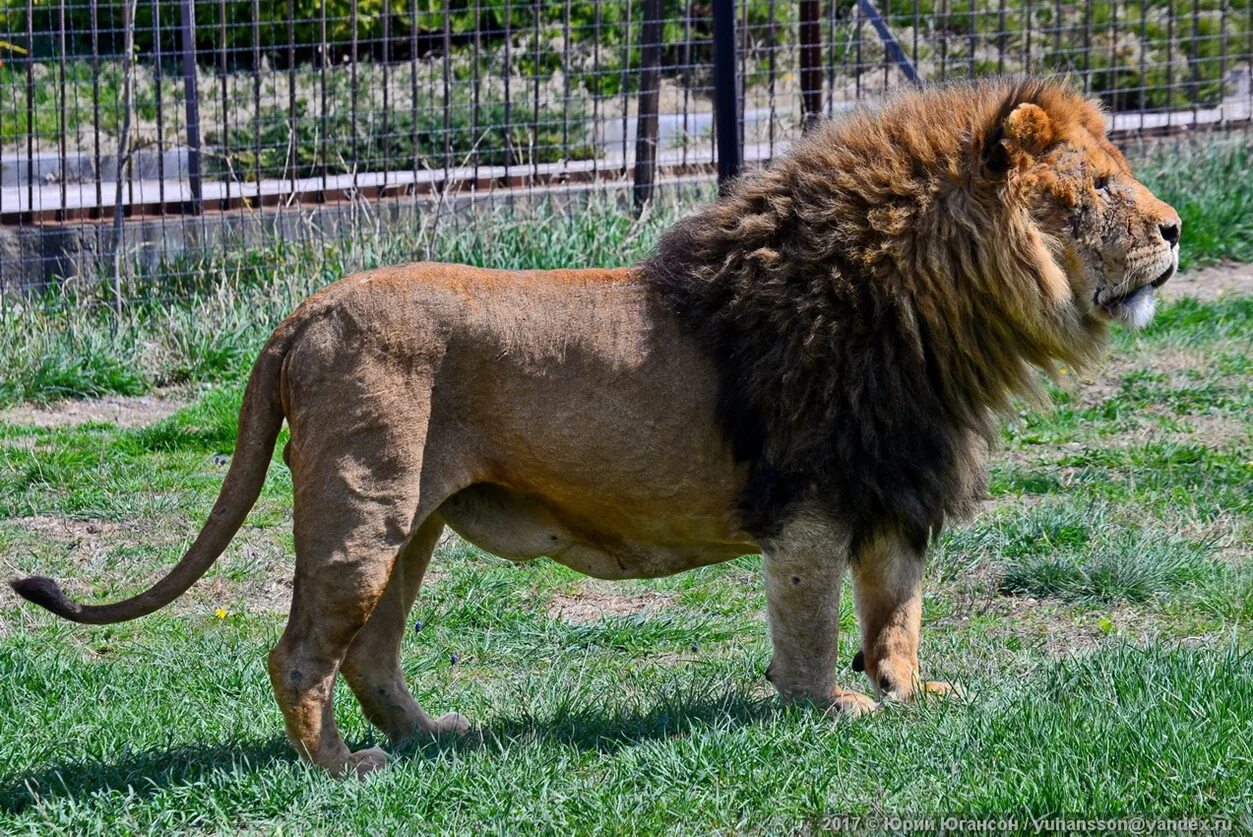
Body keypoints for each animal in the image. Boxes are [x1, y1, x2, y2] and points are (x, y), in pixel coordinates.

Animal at [12, 78, 1182, 776]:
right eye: (1098, 185)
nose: (1174, 229)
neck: (931, 303)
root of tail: (302, 313)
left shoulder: (892, 483)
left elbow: (895, 609)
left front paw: (909, 692)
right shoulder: (810, 495)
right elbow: (808, 625)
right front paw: (828, 709)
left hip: (410, 526)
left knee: (370, 654)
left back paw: (434, 738)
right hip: (360, 513)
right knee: (298, 652)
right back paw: (342, 771)